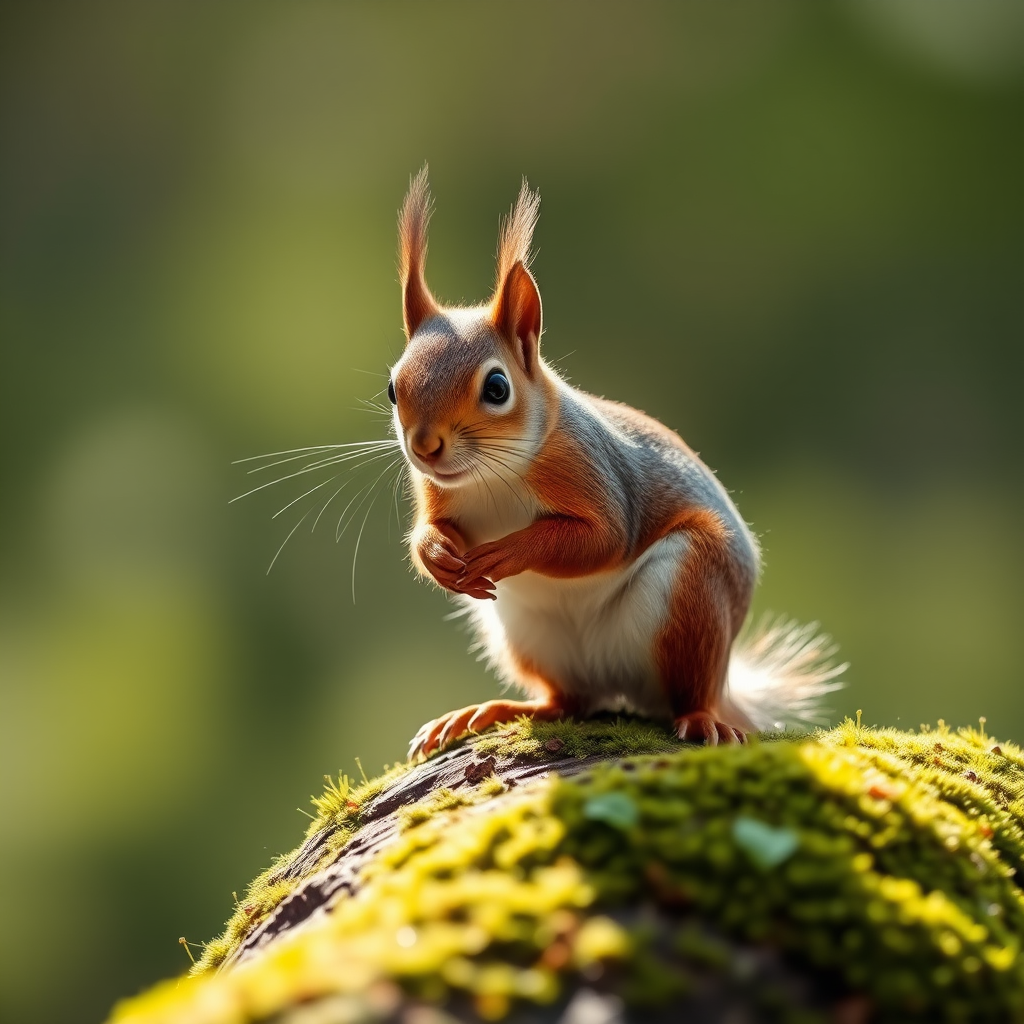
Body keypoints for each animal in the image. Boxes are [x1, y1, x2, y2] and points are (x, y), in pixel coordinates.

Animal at [389, 169, 843, 759]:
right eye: (392, 387)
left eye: (497, 387)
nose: (423, 447)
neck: (494, 475)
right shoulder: (437, 491)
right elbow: (431, 528)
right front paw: (436, 555)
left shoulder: (591, 470)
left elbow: (602, 538)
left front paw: (510, 551)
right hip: (530, 634)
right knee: (567, 701)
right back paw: (493, 710)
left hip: (692, 594)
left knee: (684, 693)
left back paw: (702, 719)